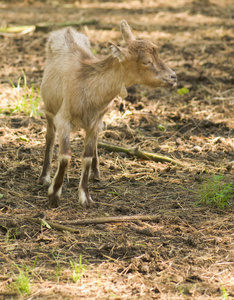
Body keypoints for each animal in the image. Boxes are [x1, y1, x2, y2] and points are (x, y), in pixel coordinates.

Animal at [38, 18, 177, 206]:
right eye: (146, 61)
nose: (173, 77)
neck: (87, 86)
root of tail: (67, 30)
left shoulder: (95, 121)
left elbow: (87, 157)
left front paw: (86, 197)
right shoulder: (64, 118)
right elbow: (65, 156)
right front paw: (53, 195)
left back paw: (95, 172)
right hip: (49, 108)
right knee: (50, 136)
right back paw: (44, 177)